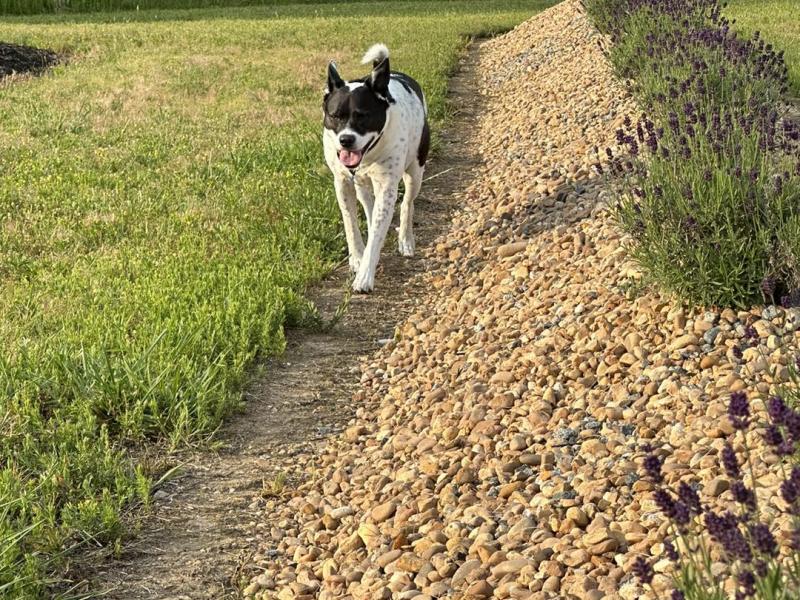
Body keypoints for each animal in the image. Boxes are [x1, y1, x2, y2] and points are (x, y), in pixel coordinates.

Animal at [322, 44, 428, 292]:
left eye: (364, 116)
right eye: (334, 116)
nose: (346, 140)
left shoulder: (387, 186)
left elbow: (380, 228)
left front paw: (364, 276)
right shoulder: (342, 183)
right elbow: (350, 223)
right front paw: (357, 258)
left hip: (415, 172)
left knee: (407, 203)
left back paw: (406, 240)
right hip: (362, 184)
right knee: (369, 206)